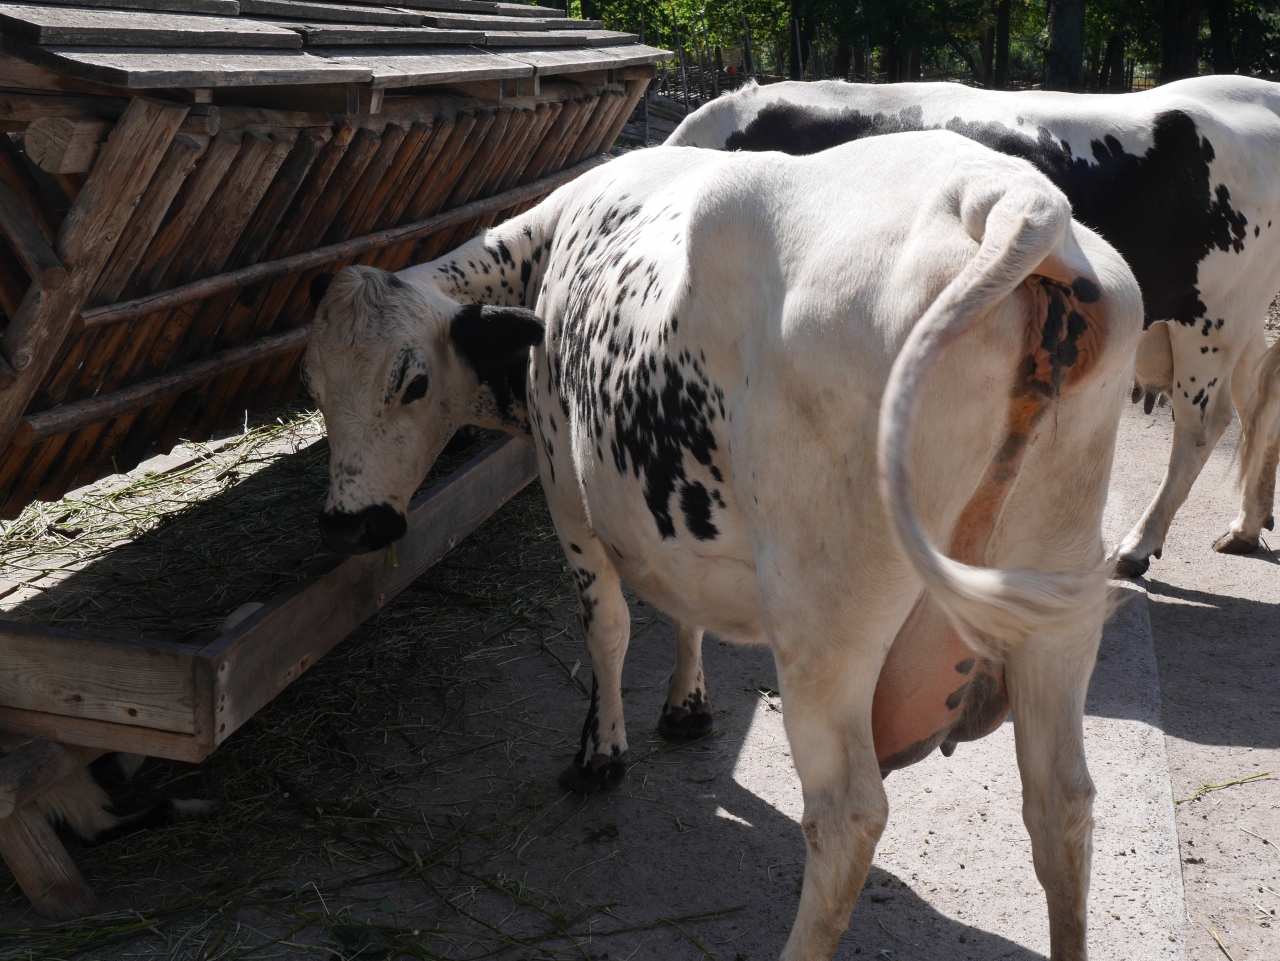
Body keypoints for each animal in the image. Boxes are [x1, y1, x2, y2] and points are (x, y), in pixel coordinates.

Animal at [304, 134, 1142, 959]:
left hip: (822, 621)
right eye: (315, 386)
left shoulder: (565, 490)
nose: (348, 523)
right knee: (1062, 805)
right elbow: (685, 611)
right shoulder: (673, 517)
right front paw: (686, 705)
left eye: (411, 381)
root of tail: (1001, 191)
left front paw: (601, 750)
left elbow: (608, 628)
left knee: (846, 817)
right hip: (1056, 598)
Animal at [667, 75, 1280, 578]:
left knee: (1202, 426)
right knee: (1259, 398)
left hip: (1212, 317)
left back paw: (1138, 545)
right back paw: (1246, 526)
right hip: (1238, 320)